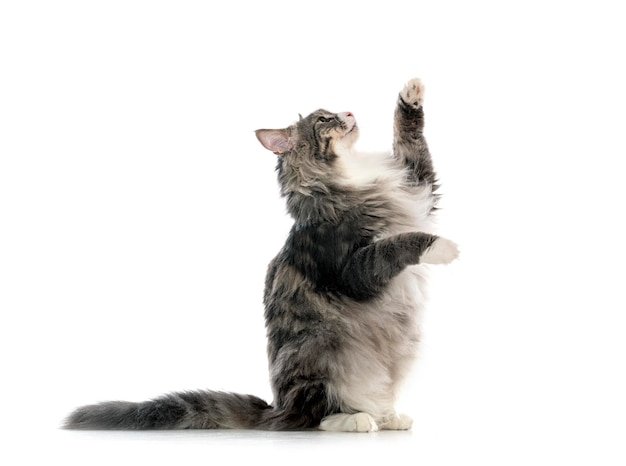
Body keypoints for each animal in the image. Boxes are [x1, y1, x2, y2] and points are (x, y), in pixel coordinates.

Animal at [64, 77, 458, 434]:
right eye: (322, 119)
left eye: (332, 112)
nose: (347, 112)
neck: (350, 174)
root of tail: (274, 407)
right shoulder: (350, 268)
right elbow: (397, 242)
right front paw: (442, 246)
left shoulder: (418, 184)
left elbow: (410, 140)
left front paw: (411, 94)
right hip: (321, 348)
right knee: (311, 417)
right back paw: (356, 419)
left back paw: (388, 416)